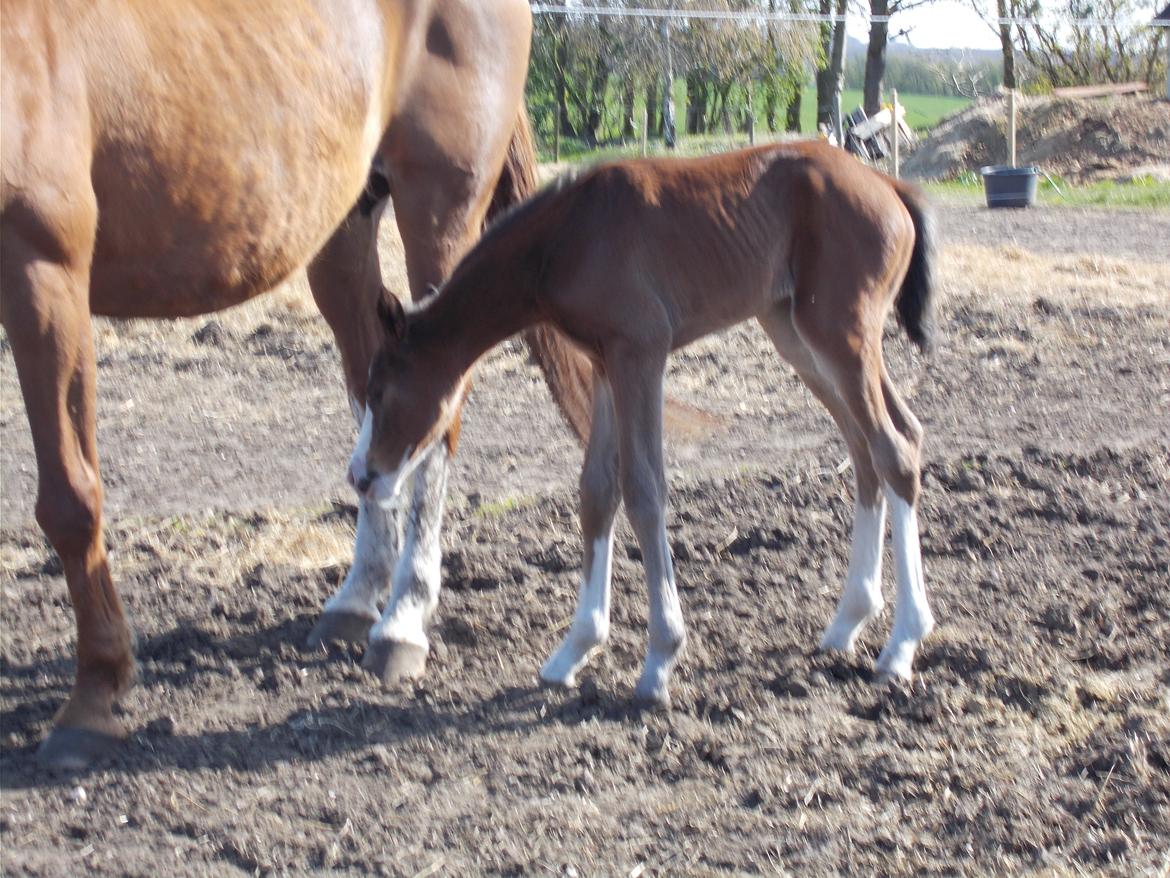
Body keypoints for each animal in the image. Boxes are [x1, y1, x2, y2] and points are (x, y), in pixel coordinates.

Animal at [0, 0, 585, 767]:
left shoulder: (43, 269)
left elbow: (70, 499)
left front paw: (95, 696)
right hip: (342, 229)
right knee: (376, 398)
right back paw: (357, 599)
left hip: (439, 214)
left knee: (437, 410)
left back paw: (402, 621)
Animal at [348, 142, 940, 707]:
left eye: (379, 391)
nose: (360, 477)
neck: (567, 236)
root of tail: (889, 185)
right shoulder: (606, 364)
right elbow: (596, 492)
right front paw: (574, 650)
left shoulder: (642, 352)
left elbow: (644, 489)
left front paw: (659, 660)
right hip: (797, 333)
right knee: (878, 445)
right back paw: (847, 623)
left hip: (838, 333)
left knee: (892, 449)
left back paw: (902, 645)